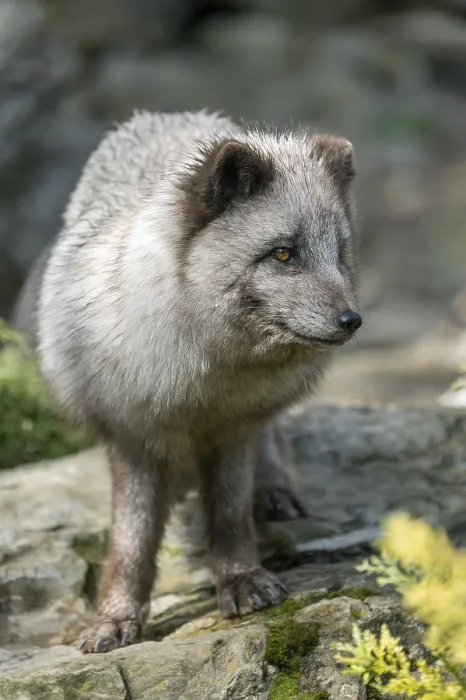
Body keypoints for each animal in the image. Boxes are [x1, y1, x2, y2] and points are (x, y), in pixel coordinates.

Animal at [14, 110, 361, 653]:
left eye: (339, 252)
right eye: (283, 255)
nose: (352, 320)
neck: (204, 381)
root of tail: (168, 116)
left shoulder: (234, 428)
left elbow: (230, 516)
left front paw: (241, 580)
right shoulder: (131, 437)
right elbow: (130, 542)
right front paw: (115, 618)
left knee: (273, 436)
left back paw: (274, 491)